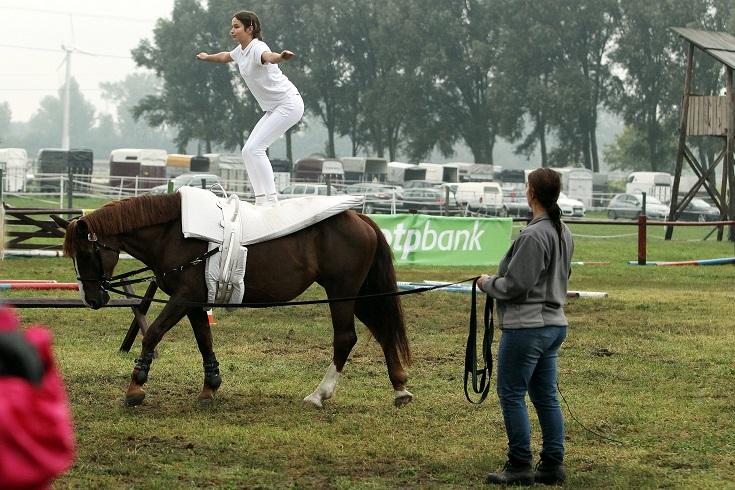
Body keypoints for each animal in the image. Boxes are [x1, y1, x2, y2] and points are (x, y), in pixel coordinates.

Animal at [53, 193, 414, 408]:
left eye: (87, 254)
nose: (92, 298)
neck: (173, 233)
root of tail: (359, 218)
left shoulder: (184, 298)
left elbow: (153, 333)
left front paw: (135, 388)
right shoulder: (195, 301)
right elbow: (205, 341)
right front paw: (210, 386)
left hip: (342, 292)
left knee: (346, 338)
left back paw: (319, 394)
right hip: (360, 293)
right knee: (382, 331)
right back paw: (399, 389)